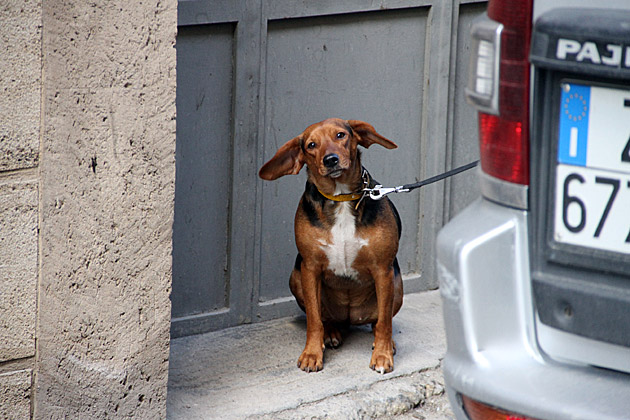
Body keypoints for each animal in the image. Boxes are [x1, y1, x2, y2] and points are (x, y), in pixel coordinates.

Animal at [258, 118, 402, 374]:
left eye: (341, 135)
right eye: (311, 145)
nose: (330, 160)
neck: (340, 197)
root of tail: (350, 318)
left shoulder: (383, 270)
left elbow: (385, 322)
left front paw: (383, 354)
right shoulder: (310, 268)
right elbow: (314, 320)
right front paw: (312, 353)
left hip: (397, 283)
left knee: (378, 321)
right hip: (295, 278)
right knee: (326, 318)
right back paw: (331, 332)